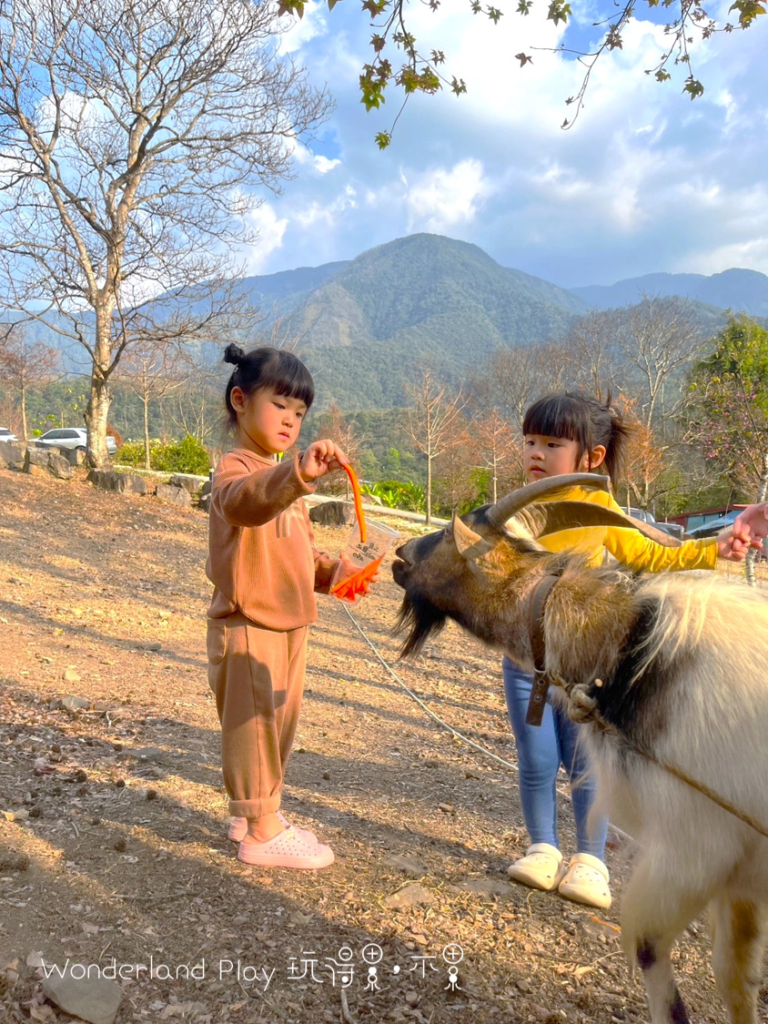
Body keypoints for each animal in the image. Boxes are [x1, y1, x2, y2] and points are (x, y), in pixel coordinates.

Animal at [393, 475, 768, 1024]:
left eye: (442, 535)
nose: (399, 554)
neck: (633, 646)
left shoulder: (695, 845)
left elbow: (650, 949)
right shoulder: (740, 876)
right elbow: (735, 978)